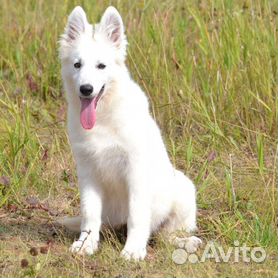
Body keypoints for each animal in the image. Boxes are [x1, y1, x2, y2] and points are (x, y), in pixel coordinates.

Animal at [59, 4, 202, 260]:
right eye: (77, 65)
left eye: (101, 66)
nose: (86, 89)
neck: (104, 119)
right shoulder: (87, 171)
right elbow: (89, 213)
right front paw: (86, 244)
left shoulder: (135, 170)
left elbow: (137, 215)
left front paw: (133, 250)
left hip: (184, 189)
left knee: (164, 236)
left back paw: (187, 243)